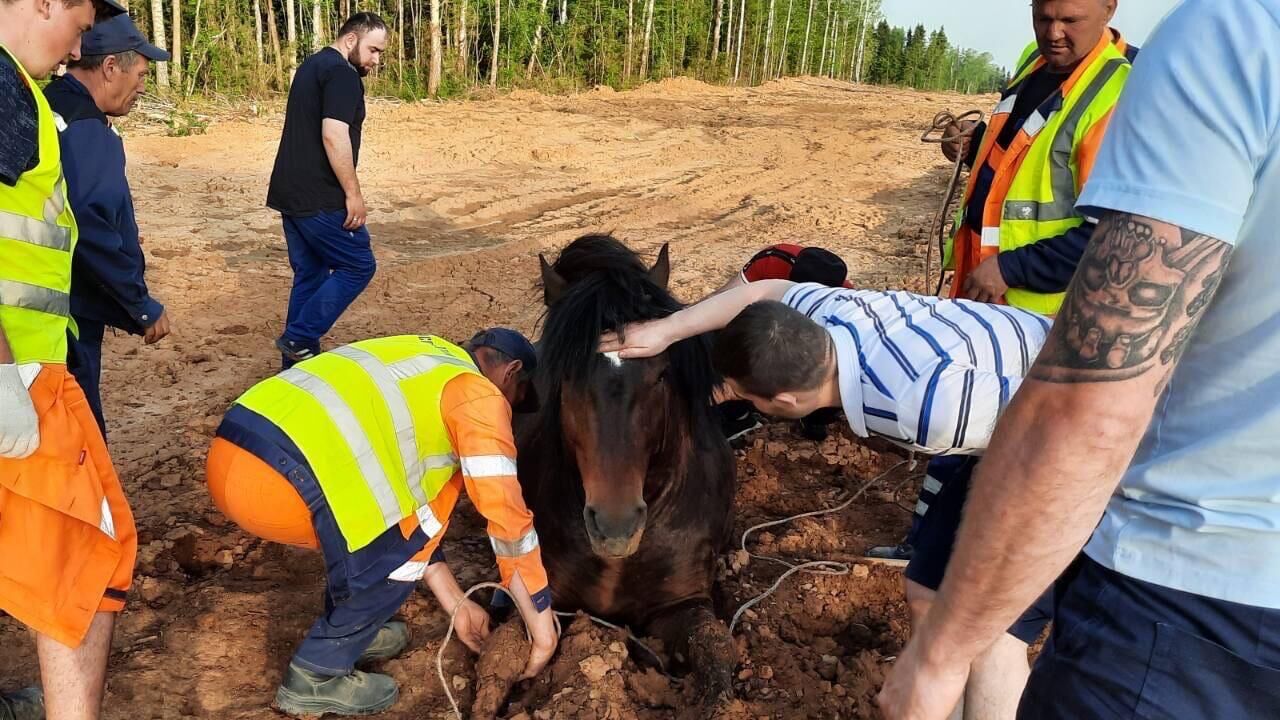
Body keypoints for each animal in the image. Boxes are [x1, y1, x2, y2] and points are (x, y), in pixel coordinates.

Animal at [514, 233, 737, 702]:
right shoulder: (553, 598)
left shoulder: (683, 606)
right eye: (565, 375)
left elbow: (716, 658)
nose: (614, 528)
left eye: (662, 374)